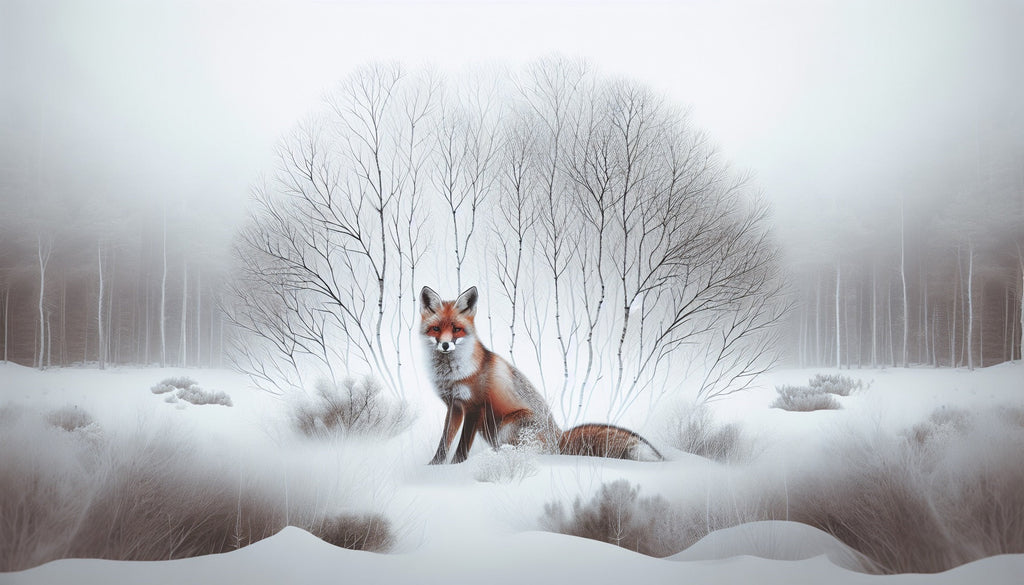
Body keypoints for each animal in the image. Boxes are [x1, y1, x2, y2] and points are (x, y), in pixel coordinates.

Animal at [420, 285, 663, 464]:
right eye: (436, 329)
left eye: (456, 329)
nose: (445, 345)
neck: (451, 374)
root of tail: (559, 437)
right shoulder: (454, 406)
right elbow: (444, 442)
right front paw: (434, 466)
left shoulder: (474, 406)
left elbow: (461, 447)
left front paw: (455, 466)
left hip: (507, 427)